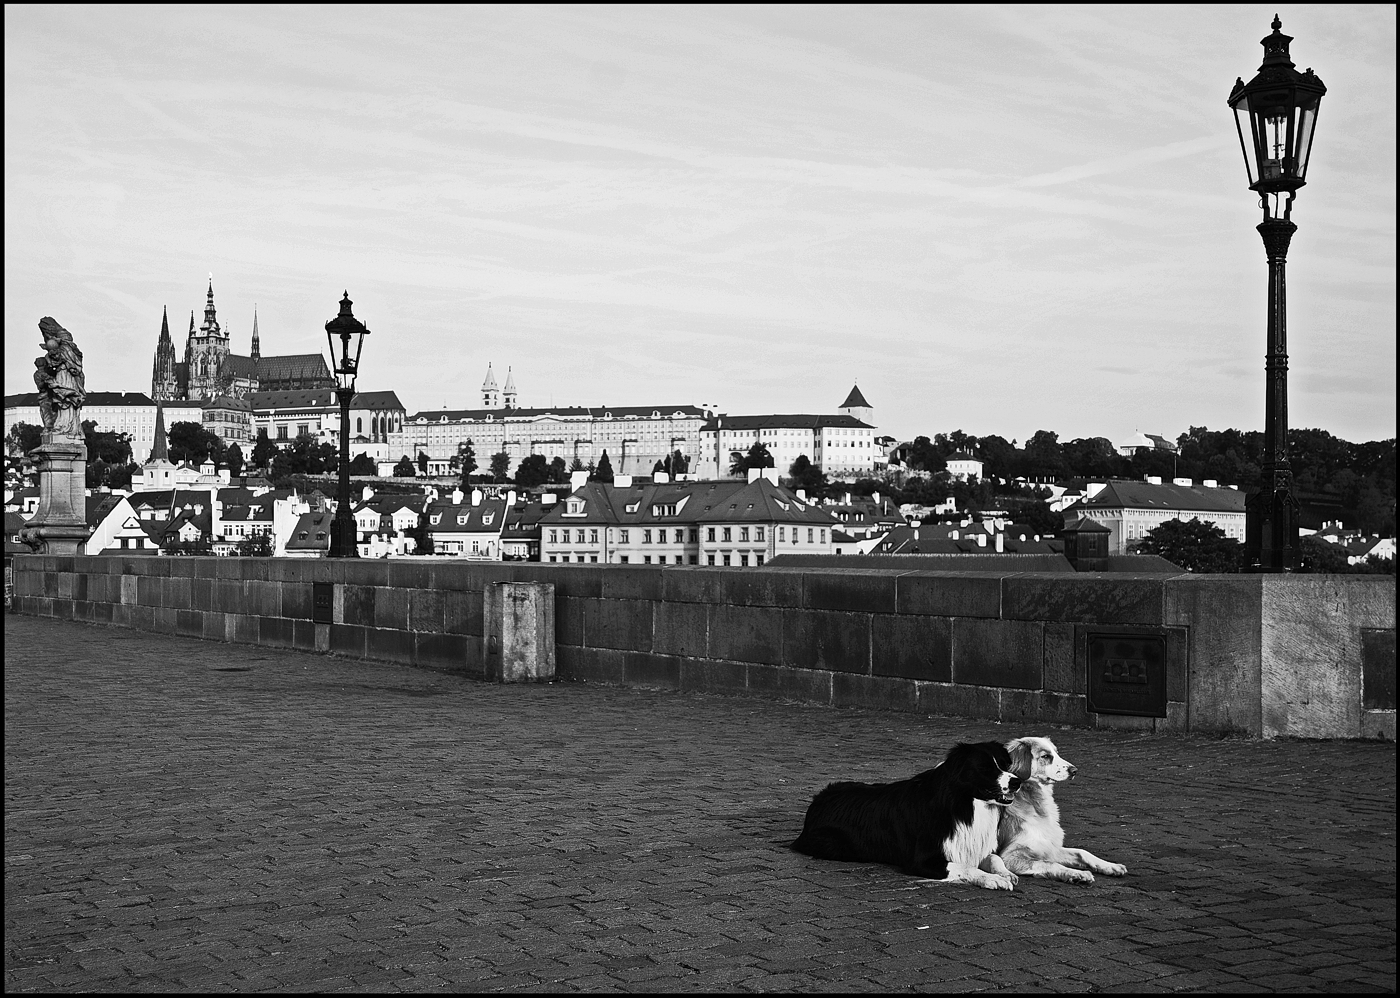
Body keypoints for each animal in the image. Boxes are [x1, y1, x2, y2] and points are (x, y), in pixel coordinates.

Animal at [795, 739, 1024, 890]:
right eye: (984, 768)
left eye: (1005, 764)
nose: (1017, 782)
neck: (963, 803)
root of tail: (818, 799)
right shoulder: (922, 860)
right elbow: (966, 867)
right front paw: (992, 879)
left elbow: (995, 857)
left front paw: (1005, 873)